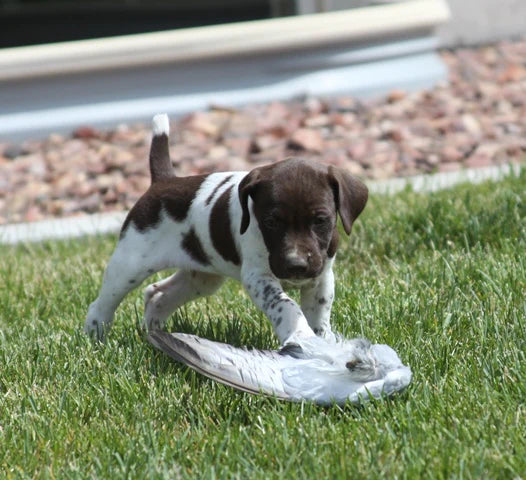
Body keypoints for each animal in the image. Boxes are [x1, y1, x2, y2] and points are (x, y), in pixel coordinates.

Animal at [85, 115, 368, 346]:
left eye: (320, 220)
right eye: (271, 222)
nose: (296, 265)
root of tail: (163, 181)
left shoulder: (321, 276)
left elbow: (319, 313)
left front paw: (324, 341)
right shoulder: (259, 277)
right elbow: (287, 306)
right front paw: (299, 335)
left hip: (201, 277)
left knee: (157, 294)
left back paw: (155, 334)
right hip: (129, 266)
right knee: (101, 304)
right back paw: (95, 338)